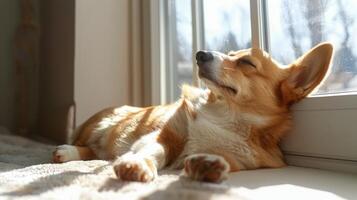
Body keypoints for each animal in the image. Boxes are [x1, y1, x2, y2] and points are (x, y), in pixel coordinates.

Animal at [52, 42, 334, 183]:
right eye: (231, 54)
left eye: (246, 62)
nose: (200, 54)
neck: (227, 115)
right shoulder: (167, 134)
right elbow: (154, 151)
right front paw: (137, 165)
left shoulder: (243, 159)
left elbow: (225, 159)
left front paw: (208, 163)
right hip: (101, 125)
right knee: (88, 146)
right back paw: (66, 151)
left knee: (97, 153)